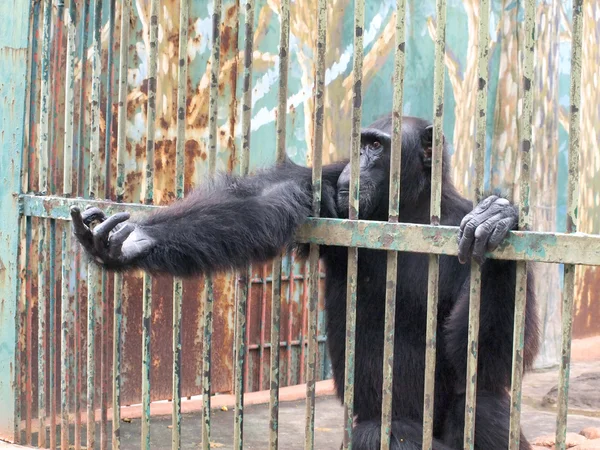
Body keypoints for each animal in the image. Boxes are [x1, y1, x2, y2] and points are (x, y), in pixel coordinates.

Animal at [70, 115, 540, 450]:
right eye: (358, 143)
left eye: (376, 145)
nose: (358, 161)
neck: (411, 214)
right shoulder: (325, 183)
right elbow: (257, 203)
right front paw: (131, 241)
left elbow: (482, 362)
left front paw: (497, 219)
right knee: (382, 434)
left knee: (486, 405)